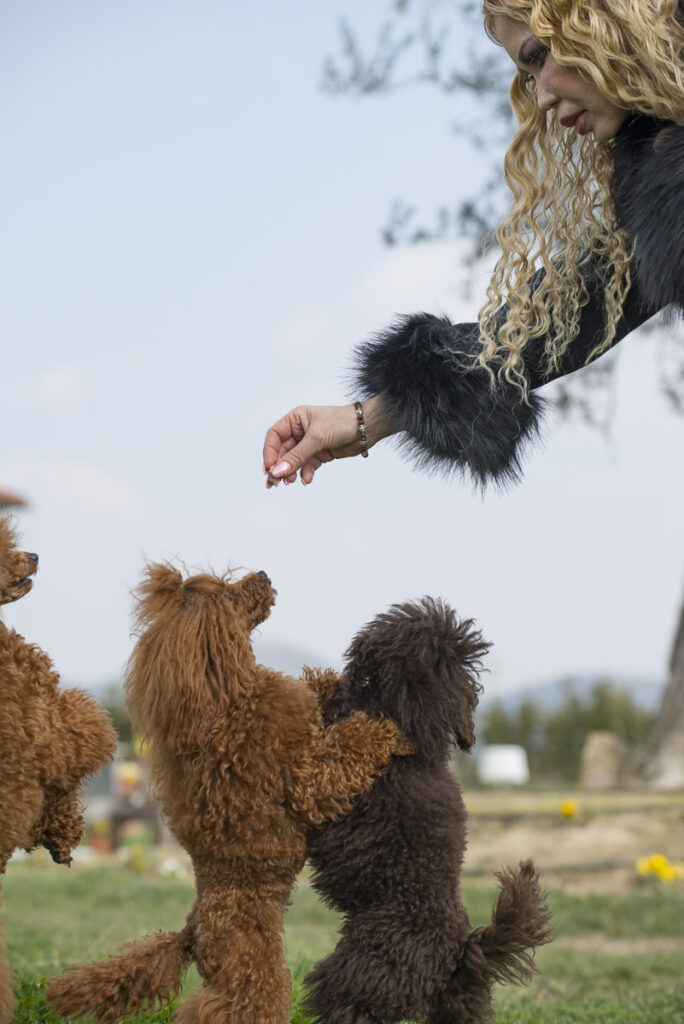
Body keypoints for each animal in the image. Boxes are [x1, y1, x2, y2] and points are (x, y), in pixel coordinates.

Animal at [48, 565, 411, 1024]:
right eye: (226, 596)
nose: (264, 574)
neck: (225, 701)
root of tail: (193, 932)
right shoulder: (305, 777)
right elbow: (345, 752)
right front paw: (384, 729)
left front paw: (327, 680)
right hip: (254, 968)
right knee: (233, 1004)